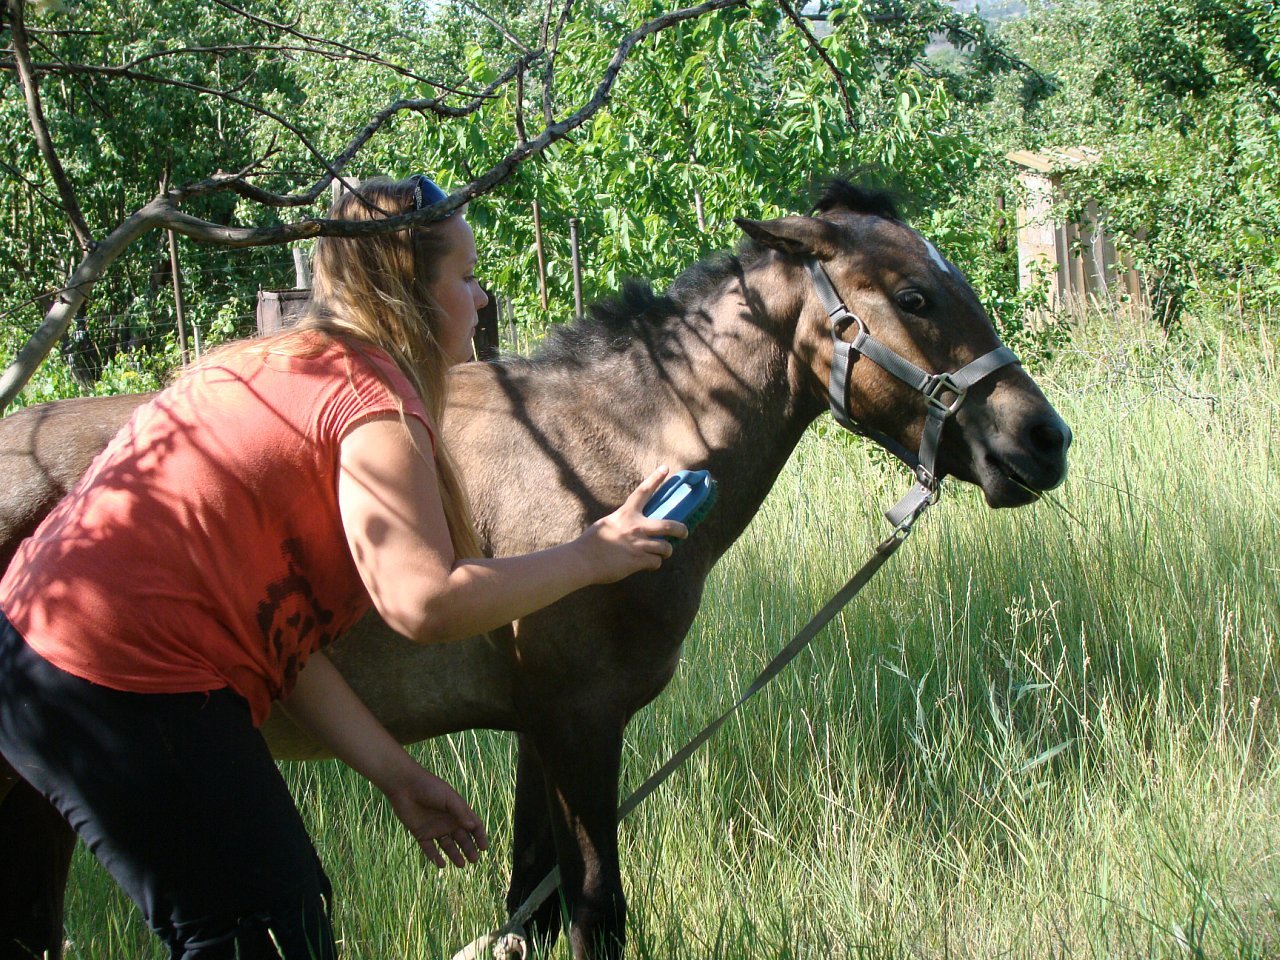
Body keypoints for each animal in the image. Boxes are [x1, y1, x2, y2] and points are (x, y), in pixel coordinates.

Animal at [0, 181, 1070, 960]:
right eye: (915, 297)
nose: (1042, 441)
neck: (603, 455)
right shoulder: (581, 724)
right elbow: (597, 907)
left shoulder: (535, 735)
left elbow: (534, 905)